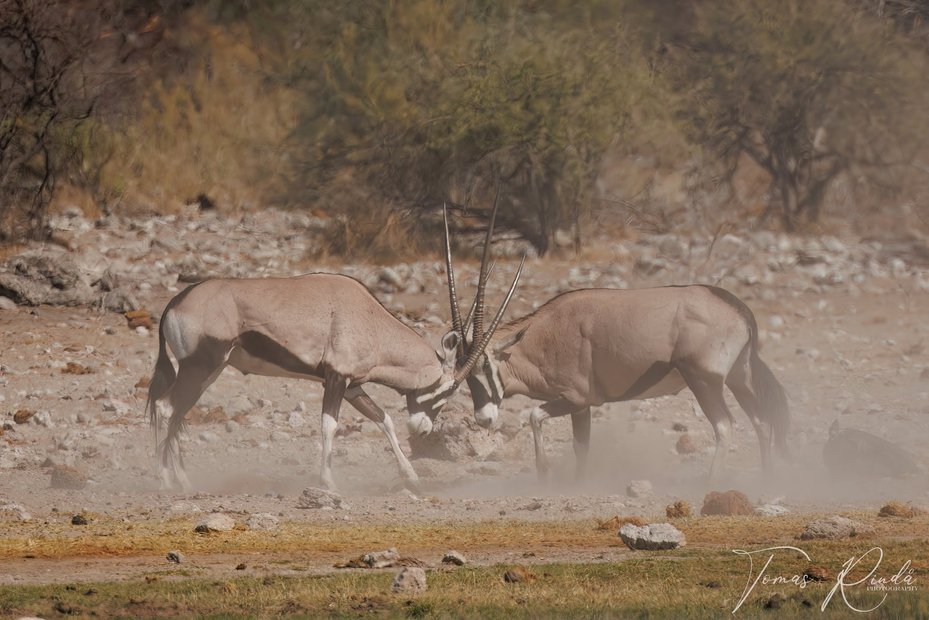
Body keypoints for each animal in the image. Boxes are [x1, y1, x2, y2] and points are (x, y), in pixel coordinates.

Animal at [148, 247, 520, 494]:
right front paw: (327, 481)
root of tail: (176, 302)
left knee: (177, 415)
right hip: (199, 369)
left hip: (208, 373)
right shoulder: (336, 378)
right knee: (167, 409)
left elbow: (382, 419)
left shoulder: (354, 385)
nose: (423, 429)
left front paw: (411, 476)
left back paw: (184, 480)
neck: (370, 319)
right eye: (448, 390)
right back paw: (166, 481)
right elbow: (329, 425)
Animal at [442, 217, 784, 480]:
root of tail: (740, 309)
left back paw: (712, 482)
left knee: (725, 426)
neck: (542, 334)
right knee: (763, 421)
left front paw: (546, 473)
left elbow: (536, 417)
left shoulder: (577, 399)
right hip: (738, 379)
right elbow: (581, 446)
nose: (484, 420)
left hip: (704, 380)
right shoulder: (581, 407)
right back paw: (767, 479)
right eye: (463, 375)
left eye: (486, 366)